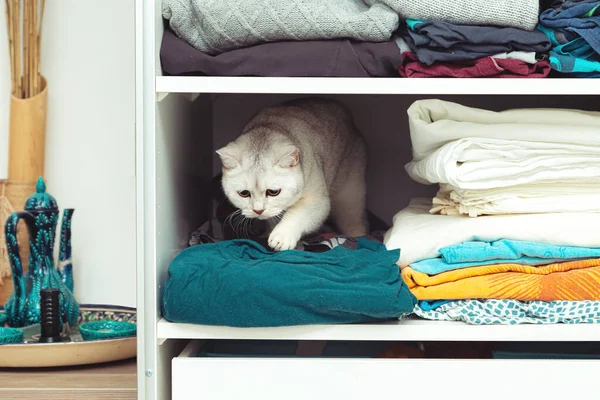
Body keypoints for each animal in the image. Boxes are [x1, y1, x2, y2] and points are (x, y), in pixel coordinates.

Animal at [214, 97, 366, 250]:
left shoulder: (317, 199)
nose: (258, 211)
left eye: (273, 192)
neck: (269, 127)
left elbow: (297, 214)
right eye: (244, 193)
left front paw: (282, 236)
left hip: (349, 198)